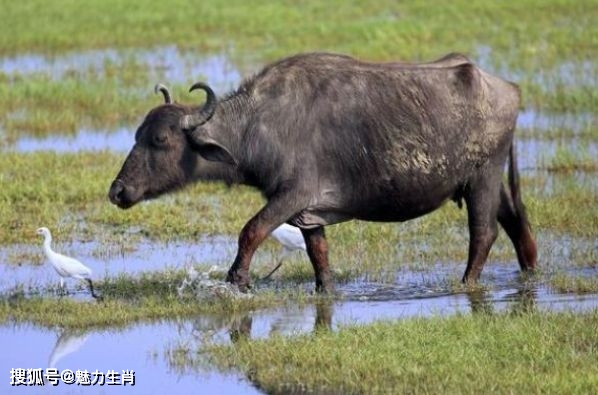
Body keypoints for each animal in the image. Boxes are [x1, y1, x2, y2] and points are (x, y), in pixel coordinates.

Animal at [110, 51, 540, 294]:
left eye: (161, 139)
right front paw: (324, 288)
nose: (118, 191)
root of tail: (508, 88)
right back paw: (531, 272)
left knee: (483, 233)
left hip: (483, 177)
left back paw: (467, 283)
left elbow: (251, 230)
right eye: (138, 134)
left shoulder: (292, 195)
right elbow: (319, 254)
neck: (259, 126)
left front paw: (237, 281)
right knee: (516, 220)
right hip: (490, 180)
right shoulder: (309, 212)